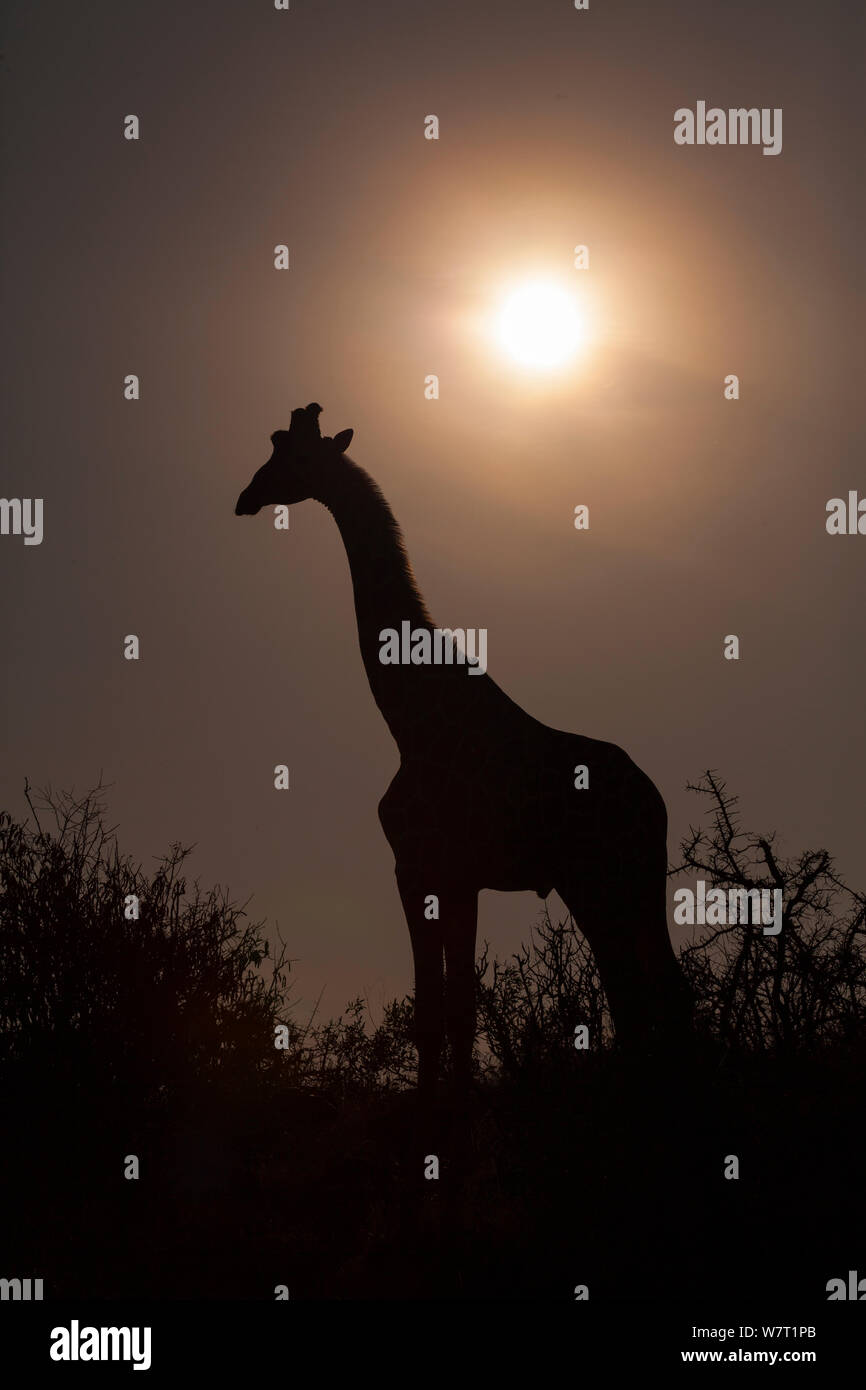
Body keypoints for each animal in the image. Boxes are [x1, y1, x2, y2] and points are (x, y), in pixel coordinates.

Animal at [234, 400, 692, 1095]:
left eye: (290, 454)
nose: (246, 497)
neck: (408, 720)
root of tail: (656, 802)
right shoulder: (457, 878)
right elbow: (457, 1010)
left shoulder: (418, 865)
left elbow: (433, 1010)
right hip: (636, 881)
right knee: (665, 989)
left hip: (598, 880)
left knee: (634, 998)